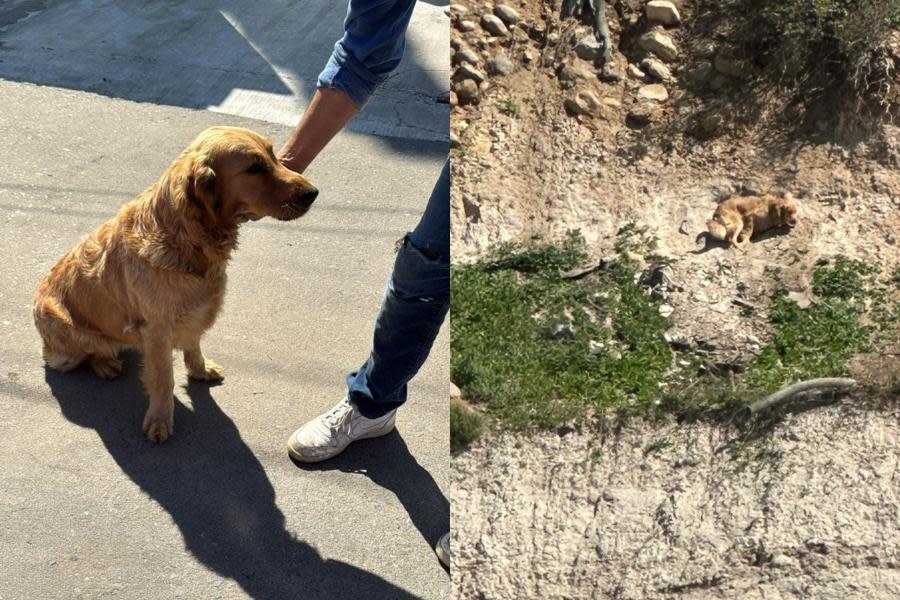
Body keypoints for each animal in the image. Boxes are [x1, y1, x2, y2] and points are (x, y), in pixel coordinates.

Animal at [31, 126, 318, 442]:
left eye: (273, 155)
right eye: (254, 167)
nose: (313, 193)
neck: (186, 238)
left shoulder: (194, 313)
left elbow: (193, 345)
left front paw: (199, 369)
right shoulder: (157, 331)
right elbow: (163, 380)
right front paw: (160, 419)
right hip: (68, 337)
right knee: (85, 354)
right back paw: (105, 363)